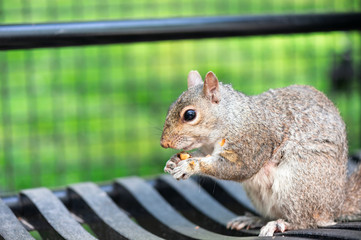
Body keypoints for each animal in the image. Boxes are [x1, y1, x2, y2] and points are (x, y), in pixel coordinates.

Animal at [160, 70, 360, 236]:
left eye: (190, 115)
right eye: (169, 108)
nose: (163, 143)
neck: (232, 118)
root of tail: (336, 205)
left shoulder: (253, 141)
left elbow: (239, 167)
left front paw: (189, 166)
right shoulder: (208, 148)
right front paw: (173, 161)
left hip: (298, 183)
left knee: (307, 221)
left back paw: (282, 224)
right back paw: (255, 219)